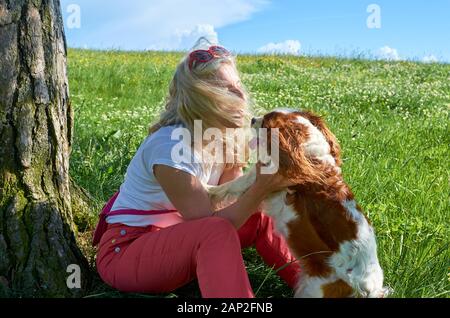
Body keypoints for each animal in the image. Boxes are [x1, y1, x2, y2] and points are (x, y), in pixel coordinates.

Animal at [207, 109, 390, 298]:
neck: (307, 153)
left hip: (315, 289)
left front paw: (208, 190)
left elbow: (235, 184)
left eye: (265, 123)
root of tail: (370, 289)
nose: (252, 119)